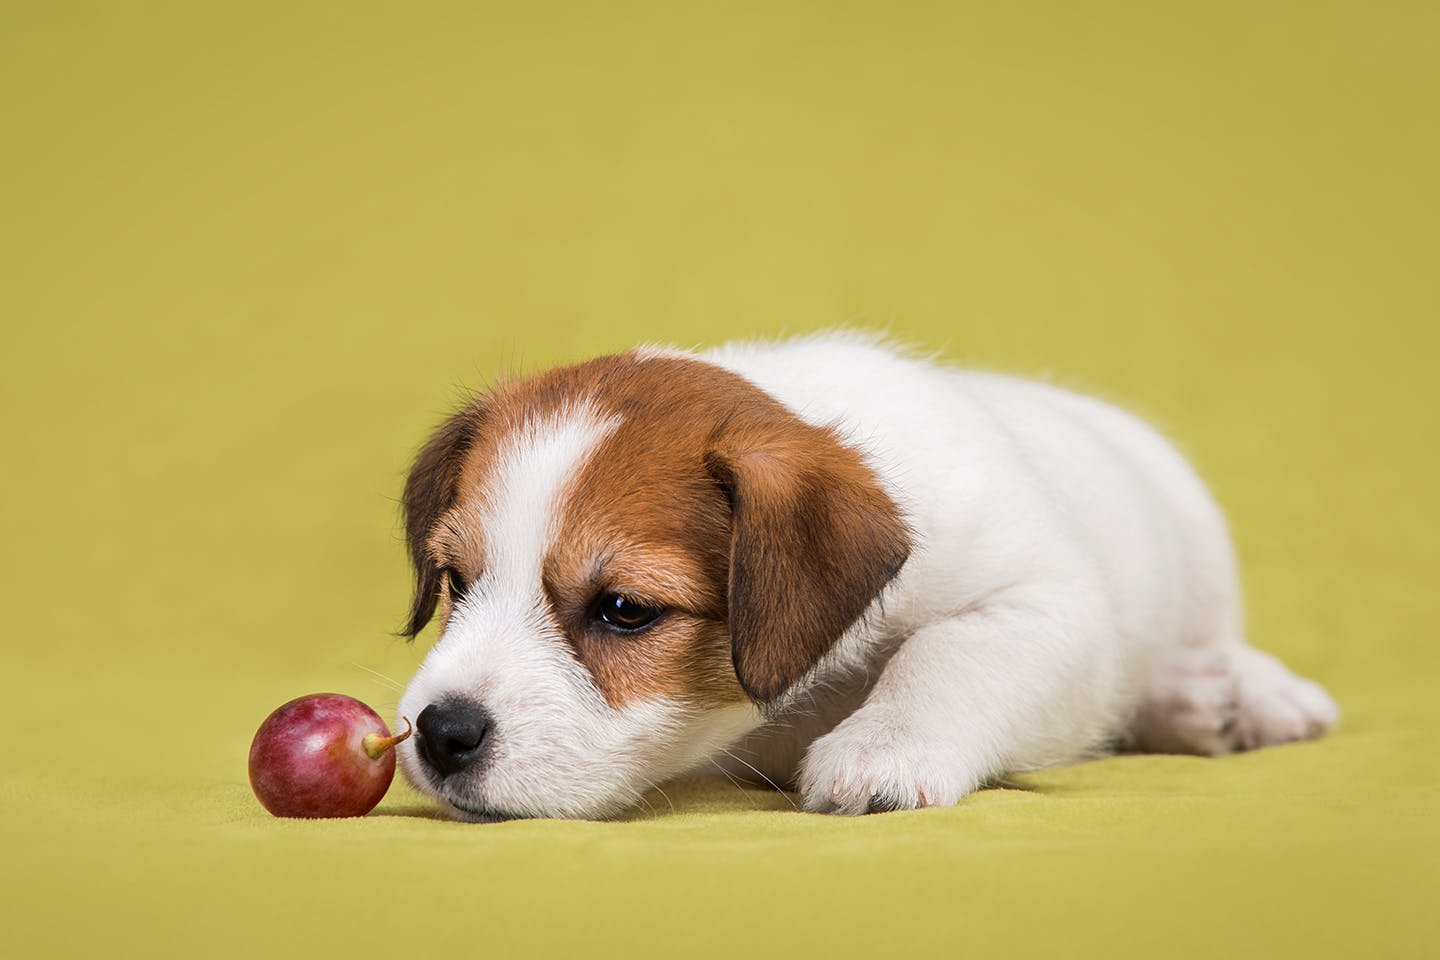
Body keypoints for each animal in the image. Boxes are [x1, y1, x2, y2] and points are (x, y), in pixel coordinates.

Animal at [394, 333, 1336, 823]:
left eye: (624, 610)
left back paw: (1241, 692)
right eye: (456, 582)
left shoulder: (1044, 603)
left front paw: (884, 749)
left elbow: (946, 653)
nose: (441, 733)